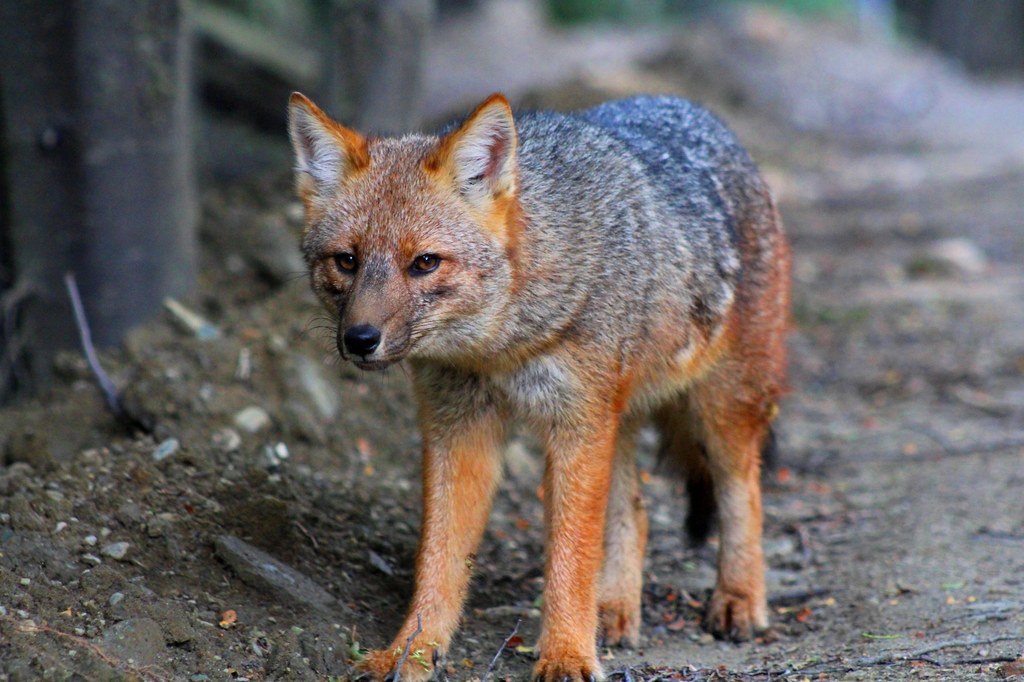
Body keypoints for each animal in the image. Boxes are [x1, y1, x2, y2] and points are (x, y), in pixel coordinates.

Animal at [288, 91, 790, 679]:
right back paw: (615, 609)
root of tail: (692, 108)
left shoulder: (575, 428)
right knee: (635, 513)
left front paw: (567, 655)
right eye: (347, 261)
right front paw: (410, 651)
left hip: (718, 412)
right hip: (616, 423)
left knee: (744, 494)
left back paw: (739, 601)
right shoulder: (458, 431)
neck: (499, 349)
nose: (360, 339)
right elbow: (438, 558)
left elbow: (570, 558)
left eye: (425, 263)